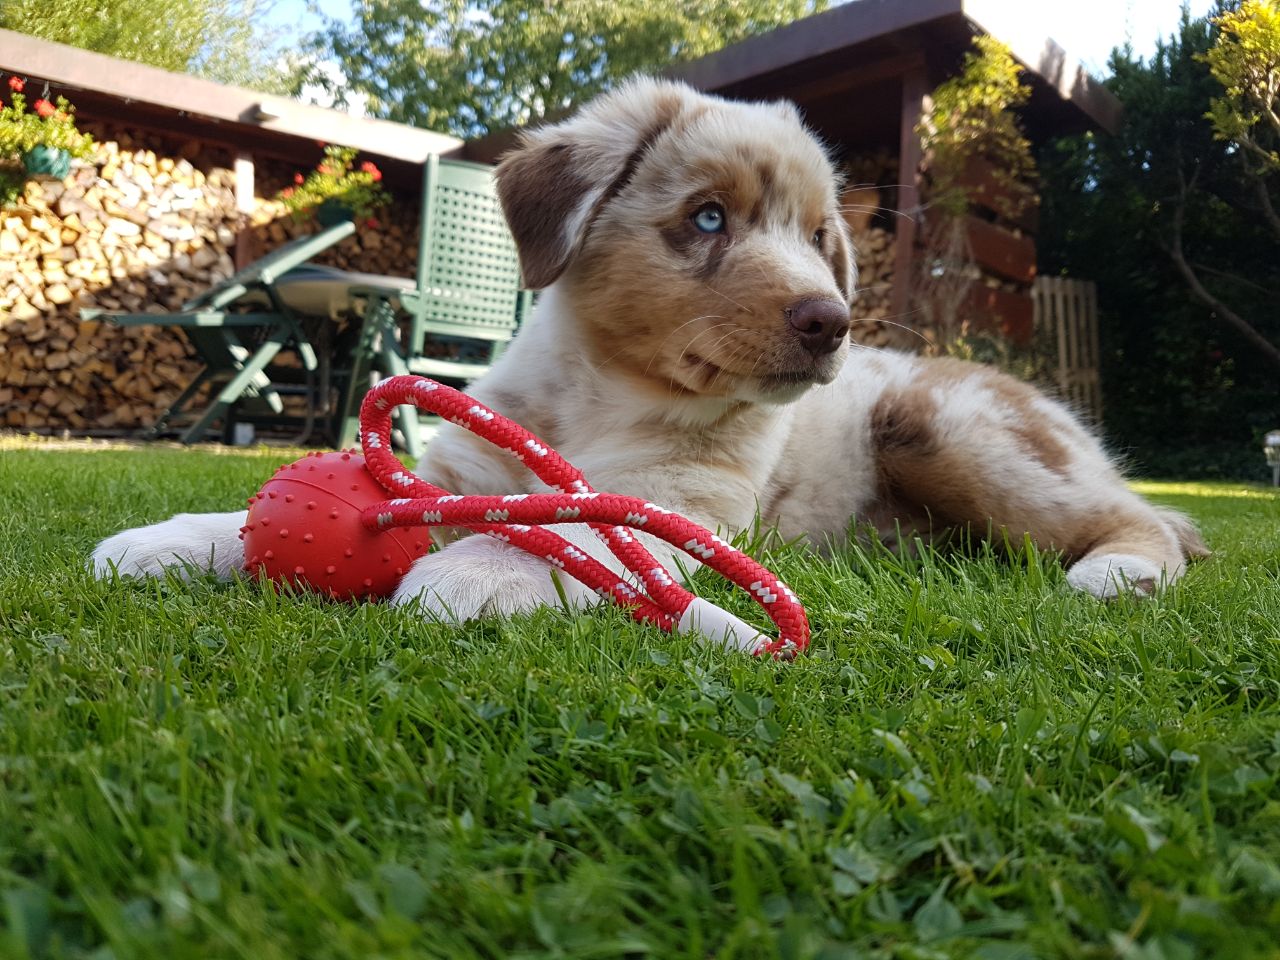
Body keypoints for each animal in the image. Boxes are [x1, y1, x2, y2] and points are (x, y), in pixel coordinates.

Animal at [92, 77, 1208, 647]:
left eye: (817, 236)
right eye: (707, 220)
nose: (833, 321)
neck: (604, 392)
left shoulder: (680, 500)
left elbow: (570, 532)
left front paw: (476, 572)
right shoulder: (466, 467)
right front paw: (169, 542)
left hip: (946, 429)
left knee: (1143, 520)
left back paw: (1114, 574)